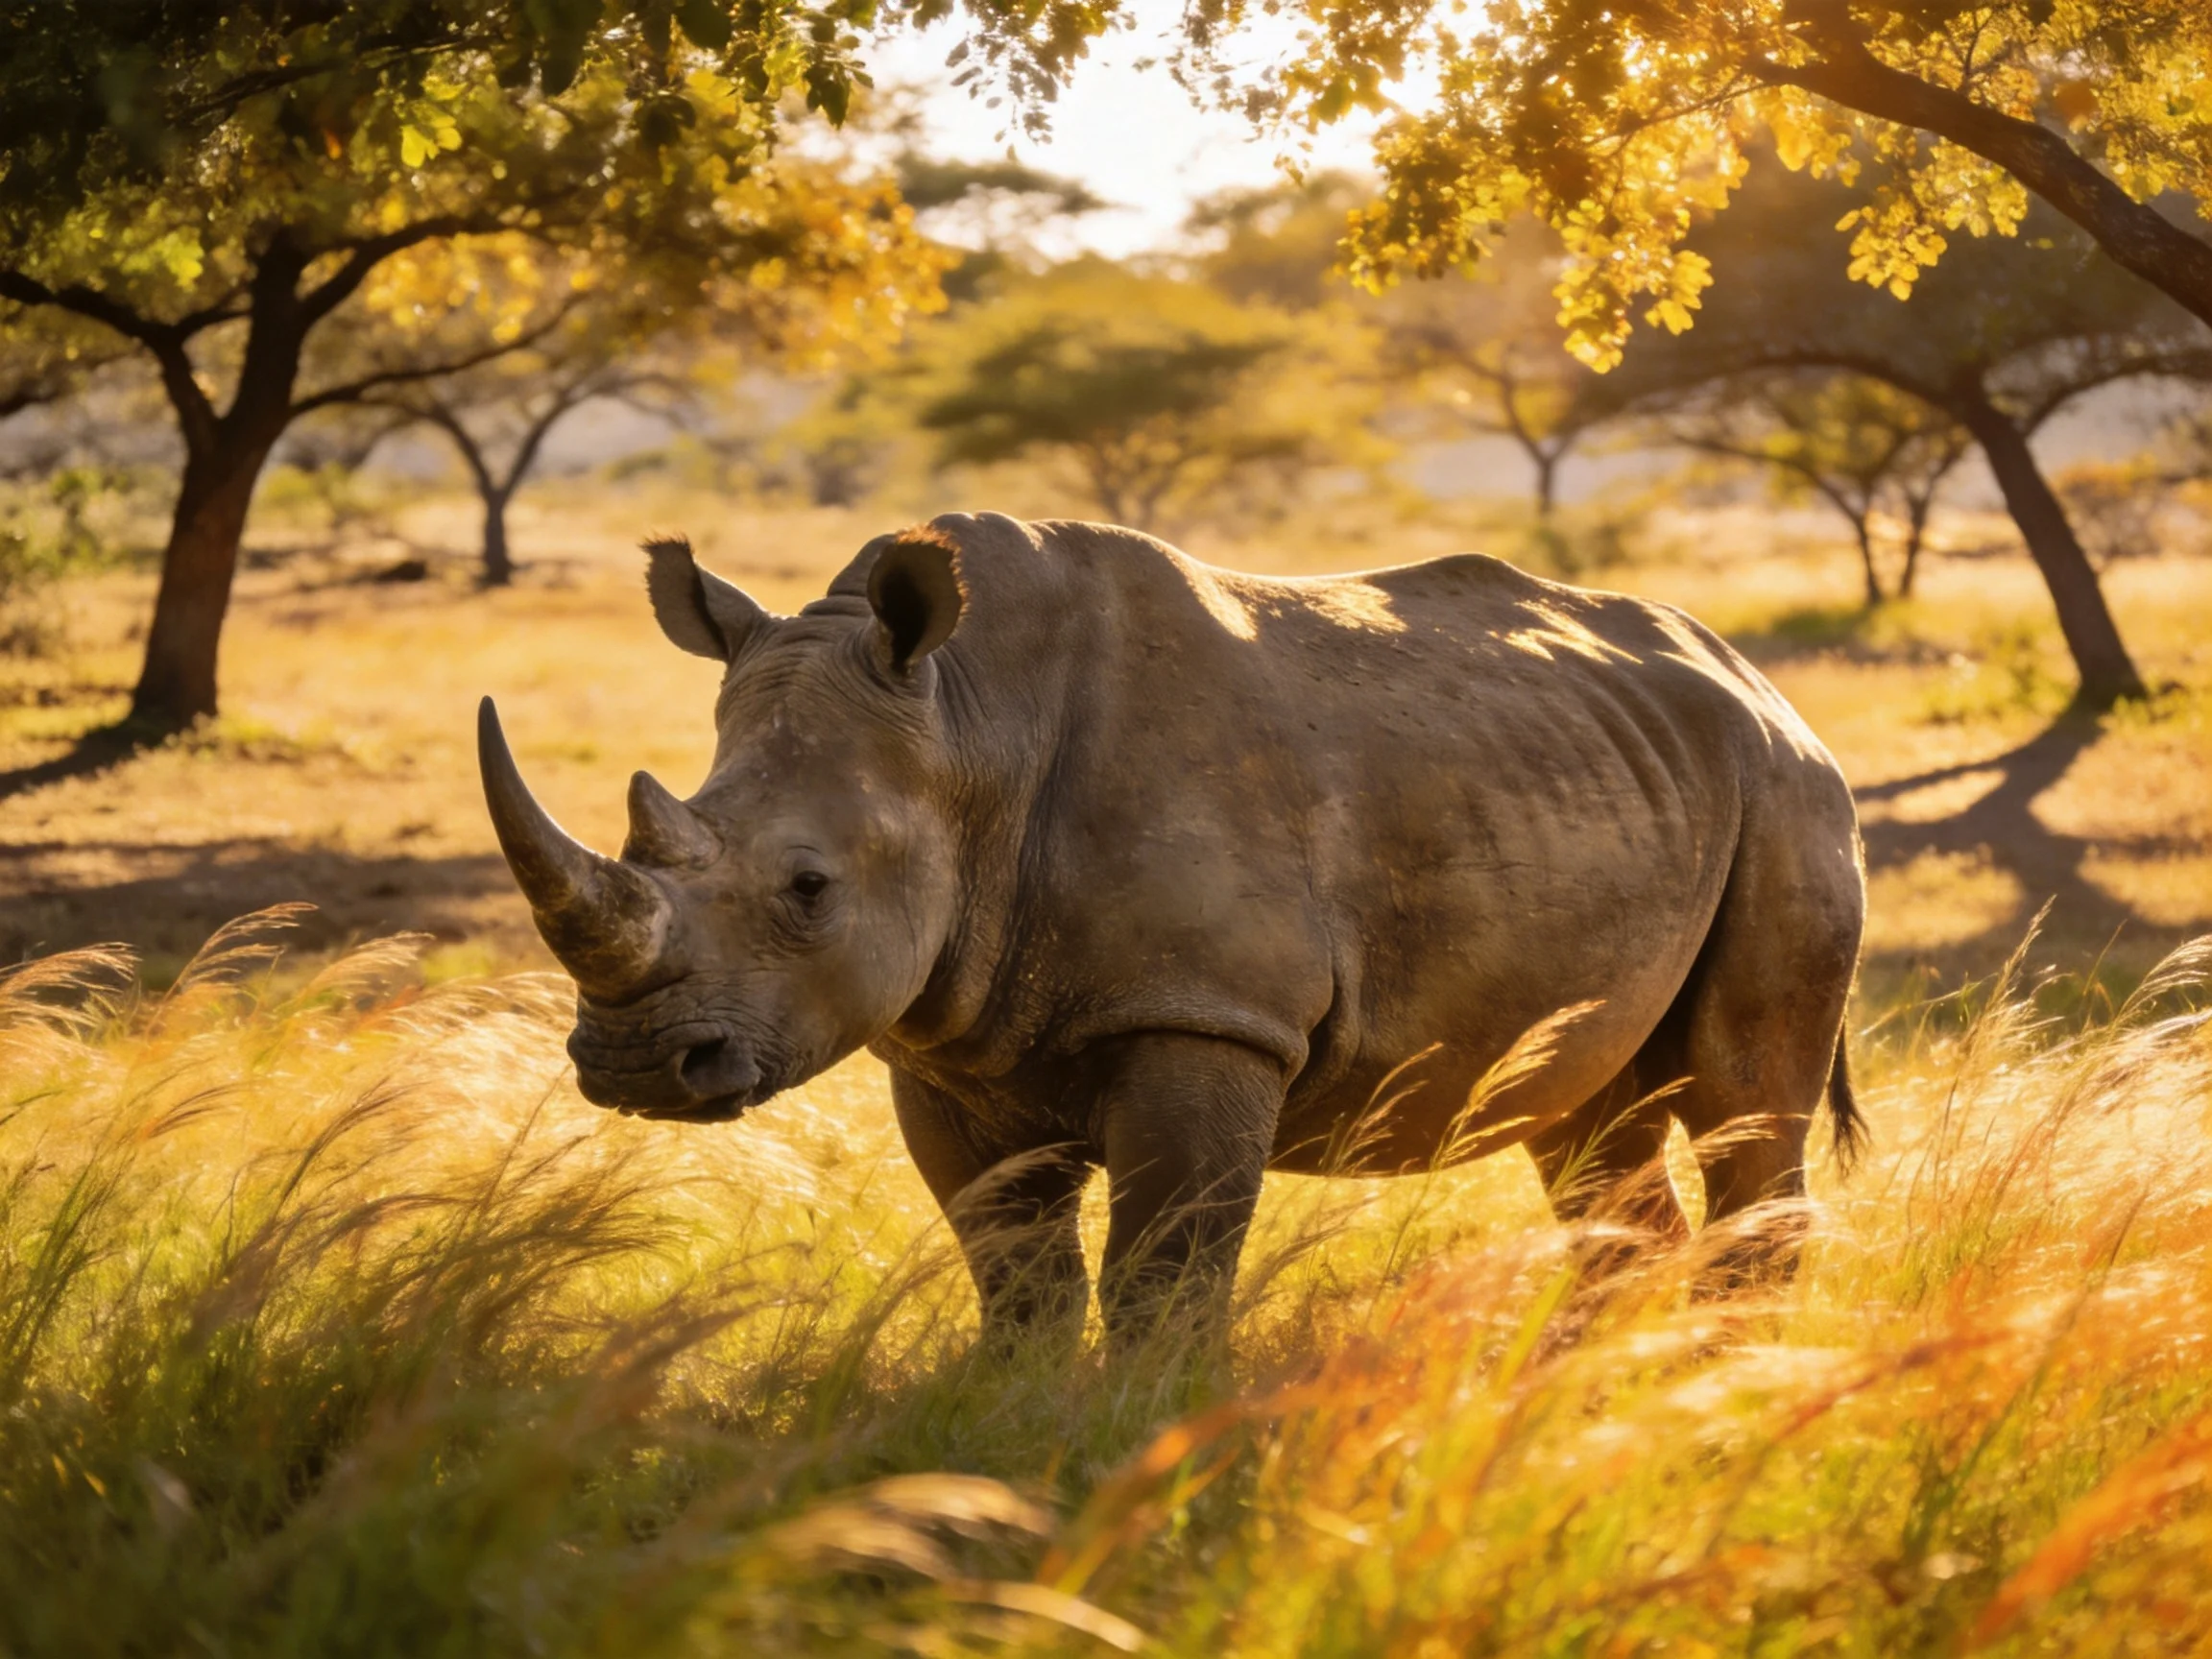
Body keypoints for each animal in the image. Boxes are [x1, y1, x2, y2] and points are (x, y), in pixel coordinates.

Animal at [479, 513, 1865, 1338]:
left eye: (810, 889)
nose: (634, 1066)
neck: (968, 727)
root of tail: (1755, 677)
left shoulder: (1205, 1015)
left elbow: (1164, 1274)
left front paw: (1142, 1440)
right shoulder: (946, 1040)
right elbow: (1015, 1271)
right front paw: (1019, 1432)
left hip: (1792, 795)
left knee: (1744, 1100)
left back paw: (1730, 1381)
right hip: (1626, 786)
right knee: (1585, 1125)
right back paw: (1611, 1393)